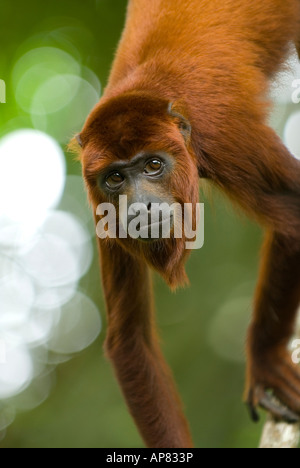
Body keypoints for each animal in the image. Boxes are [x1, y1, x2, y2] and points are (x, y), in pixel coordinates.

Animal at [74, 0, 300, 450]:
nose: (141, 207)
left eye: (153, 165)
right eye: (115, 178)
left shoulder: (226, 139)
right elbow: (130, 339)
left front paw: (266, 362)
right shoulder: (100, 209)